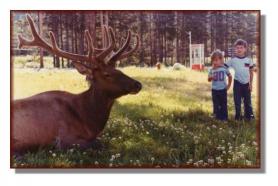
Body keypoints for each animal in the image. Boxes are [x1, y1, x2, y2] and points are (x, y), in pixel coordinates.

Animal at [11, 15, 141, 153]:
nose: (138, 84)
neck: (88, 121)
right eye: (107, 74)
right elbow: (99, 143)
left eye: (119, 70)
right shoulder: (63, 139)